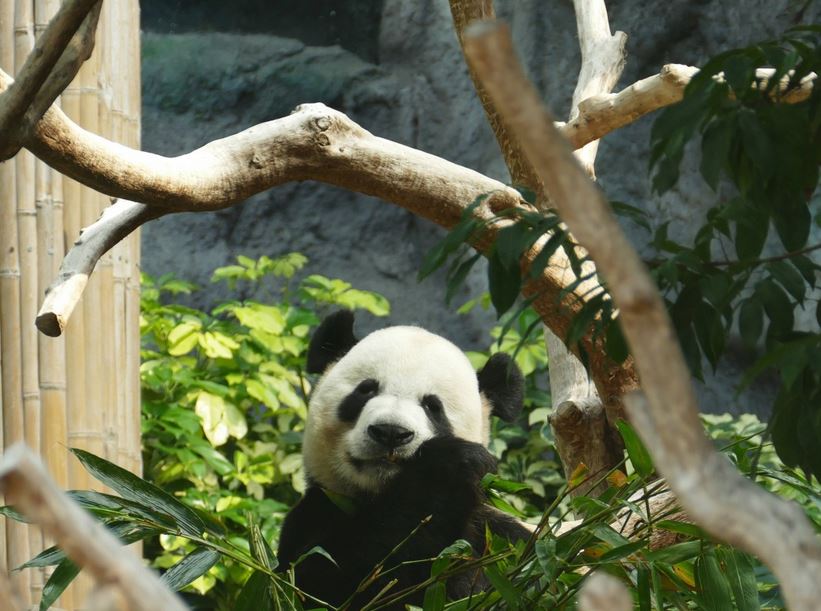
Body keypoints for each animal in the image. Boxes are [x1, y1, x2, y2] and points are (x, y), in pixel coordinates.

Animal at [278, 314, 532, 608]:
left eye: (433, 406)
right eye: (365, 390)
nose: (390, 432)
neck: (383, 493)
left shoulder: (498, 537)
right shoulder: (316, 513)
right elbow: (326, 582)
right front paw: (446, 467)